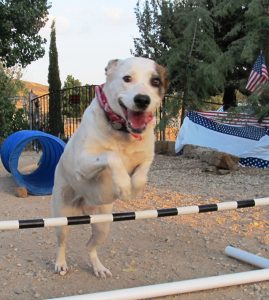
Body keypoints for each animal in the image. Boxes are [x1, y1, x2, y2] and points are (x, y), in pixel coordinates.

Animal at [51, 56, 168, 276]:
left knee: (90, 246)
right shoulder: (83, 163)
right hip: (62, 218)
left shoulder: (148, 156)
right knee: (62, 242)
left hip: (103, 225)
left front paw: (134, 188)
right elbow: (111, 155)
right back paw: (61, 263)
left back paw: (98, 267)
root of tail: (84, 205)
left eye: (155, 81)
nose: (142, 100)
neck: (123, 131)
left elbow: (142, 174)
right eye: (127, 78)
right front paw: (123, 184)